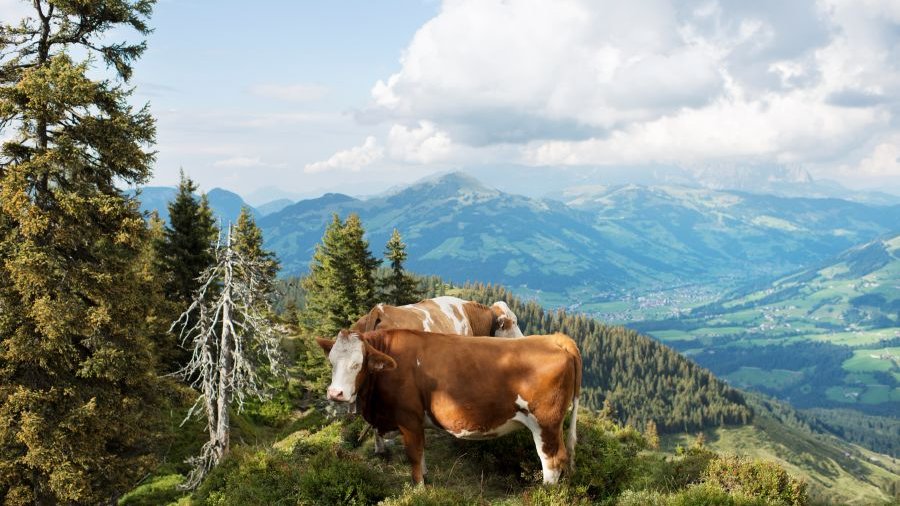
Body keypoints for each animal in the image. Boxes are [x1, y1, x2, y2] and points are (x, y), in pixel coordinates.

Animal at [316, 329, 582, 485]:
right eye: (331, 362)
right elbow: (421, 452)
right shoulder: (416, 422)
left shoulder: (408, 417)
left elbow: (414, 454)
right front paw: (424, 476)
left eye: (357, 364)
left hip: (546, 423)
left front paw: (418, 487)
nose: (335, 393)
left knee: (552, 460)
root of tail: (556, 338)